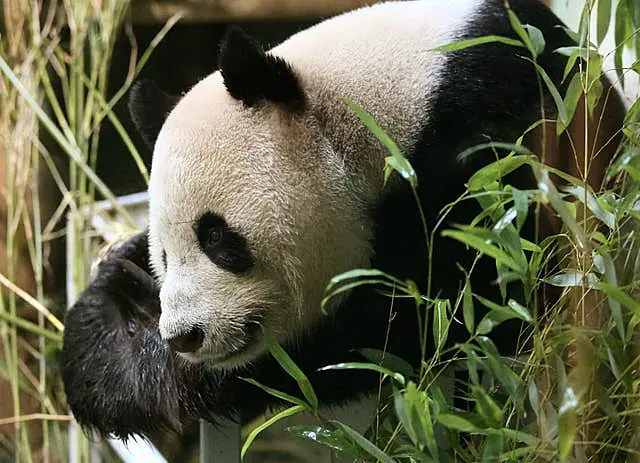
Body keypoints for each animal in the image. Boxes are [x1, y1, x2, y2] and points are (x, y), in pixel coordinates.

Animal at [61, 0, 624, 442]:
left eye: (217, 236)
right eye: (163, 255)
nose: (183, 337)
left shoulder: (493, 146)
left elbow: (429, 309)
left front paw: (133, 372)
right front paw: (116, 306)